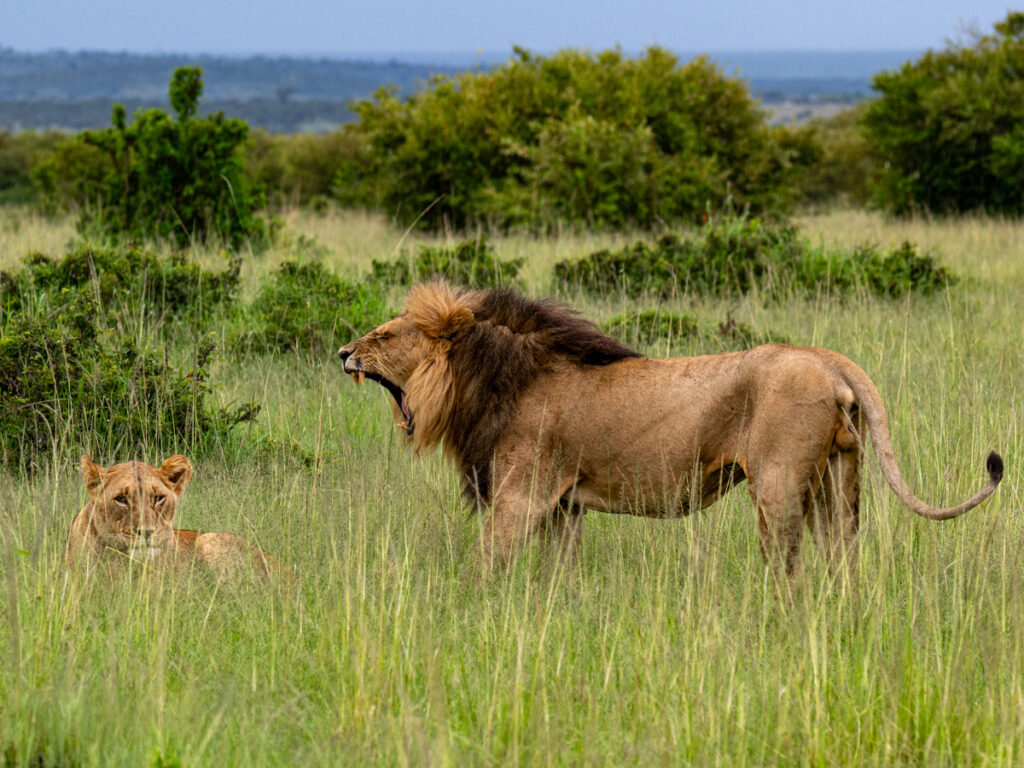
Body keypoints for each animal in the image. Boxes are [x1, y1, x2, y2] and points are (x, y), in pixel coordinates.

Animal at [338, 281, 1003, 577]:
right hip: (840, 479)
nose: (343, 352)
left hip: (778, 484)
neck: (494, 379)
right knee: (843, 558)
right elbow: (561, 574)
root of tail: (828, 357)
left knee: (786, 568)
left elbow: (486, 563)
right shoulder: (564, 506)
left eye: (386, 336)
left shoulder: (520, 496)